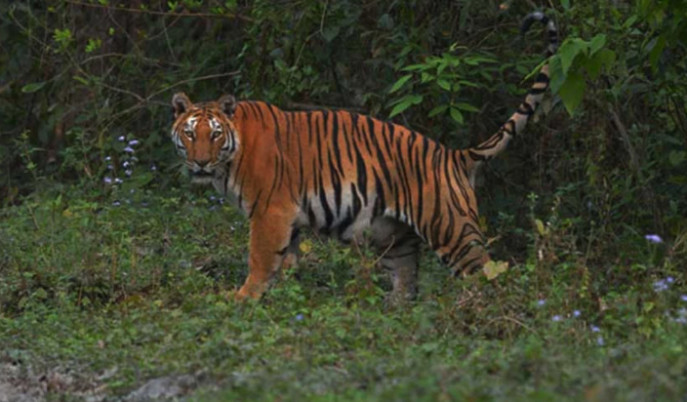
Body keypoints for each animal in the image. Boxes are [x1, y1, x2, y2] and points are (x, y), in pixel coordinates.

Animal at [170, 12, 558, 301]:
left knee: (489, 275)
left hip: (453, 230)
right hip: (396, 238)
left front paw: (242, 299)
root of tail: (454, 155)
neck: (231, 156)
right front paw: (285, 299)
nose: (200, 162)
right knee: (407, 284)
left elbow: (261, 260)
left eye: (214, 135)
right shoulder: (289, 219)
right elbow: (287, 263)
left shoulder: (270, 212)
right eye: (189, 134)